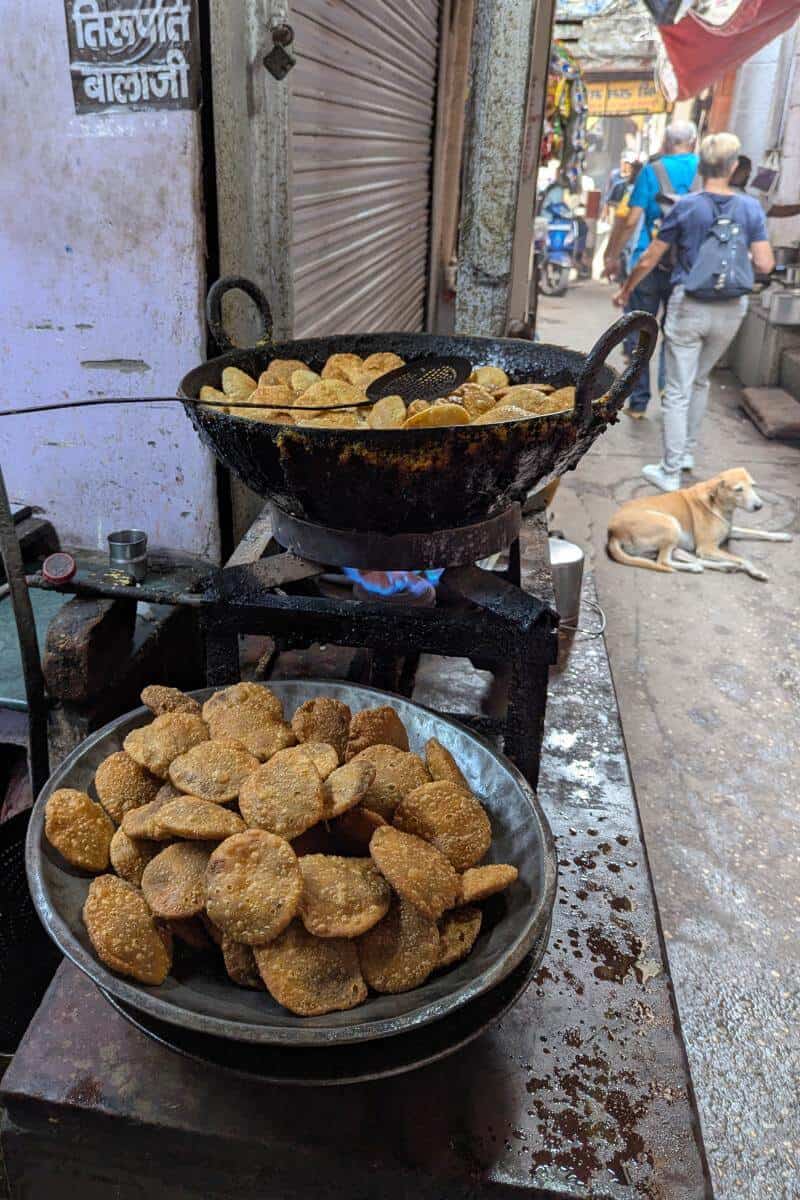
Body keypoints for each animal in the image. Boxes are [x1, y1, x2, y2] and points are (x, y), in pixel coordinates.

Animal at [609, 468, 791, 580]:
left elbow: (758, 532)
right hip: (671, 523)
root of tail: (612, 531)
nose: (760, 506)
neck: (717, 503)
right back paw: (701, 567)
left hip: (675, 539)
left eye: (753, 486)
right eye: (738, 489)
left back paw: (725, 566)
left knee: (688, 557)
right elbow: (744, 559)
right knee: (665, 562)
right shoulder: (707, 547)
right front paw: (756, 571)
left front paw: (781, 535)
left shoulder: (727, 532)